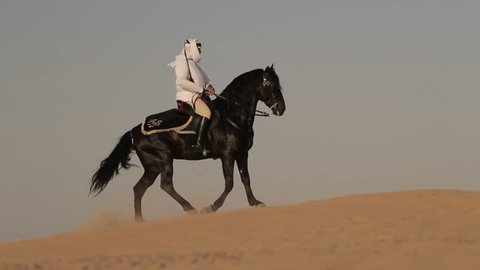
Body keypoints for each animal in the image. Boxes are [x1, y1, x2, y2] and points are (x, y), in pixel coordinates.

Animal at [90, 65, 284, 221]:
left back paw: (140, 221)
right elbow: (230, 183)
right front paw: (210, 207)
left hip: (152, 166)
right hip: (164, 158)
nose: (281, 109)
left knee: (139, 189)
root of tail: (134, 131)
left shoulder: (242, 154)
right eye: (270, 84)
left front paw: (255, 202)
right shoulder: (227, 155)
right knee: (165, 184)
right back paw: (190, 208)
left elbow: (246, 179)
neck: (232, 116)